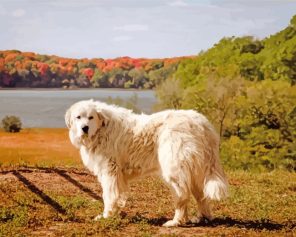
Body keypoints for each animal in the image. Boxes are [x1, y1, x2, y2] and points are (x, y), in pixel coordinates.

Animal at [65, 99, 228, 227]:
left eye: (90, 117)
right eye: (78, 117)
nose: (84, 128)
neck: (102, 128)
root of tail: (202, 123)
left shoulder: (109, 171)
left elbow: (109, 196)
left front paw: (107, 216)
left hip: (175, 169)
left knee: (183, 196)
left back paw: (176, 221)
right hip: (196, 170)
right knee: (201, 196)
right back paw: (203, 218)